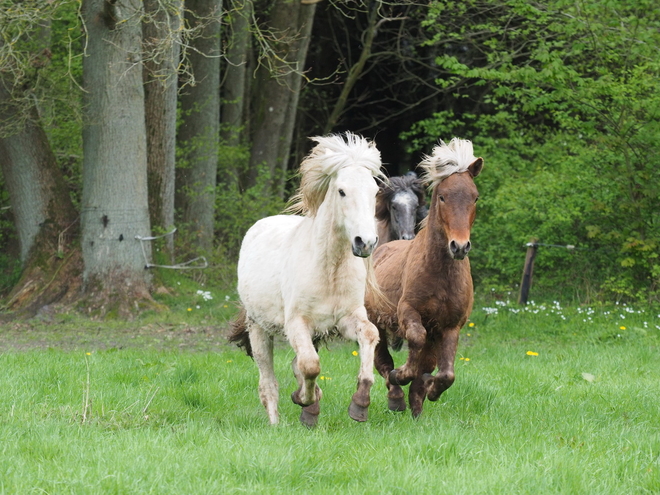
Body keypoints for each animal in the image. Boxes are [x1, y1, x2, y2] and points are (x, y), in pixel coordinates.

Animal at [232, 134, 386, 428]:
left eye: (374, 192)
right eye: (342, 191)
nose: (366, 242)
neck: (329, 270)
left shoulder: (347, 319)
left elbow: (370, 335)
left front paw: (359, 405)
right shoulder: (297, 324)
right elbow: (310, 366)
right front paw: (303, 399)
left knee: (296, 363)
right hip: (258, 328)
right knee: (268, 382)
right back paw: (276, 423)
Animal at [364, 139, 482, 418]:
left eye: (475, 197)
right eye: (442, 196)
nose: (459, 247)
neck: (441, 275)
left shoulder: (450, 326)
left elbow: (446, 373)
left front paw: (432, 390)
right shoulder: (408, 311)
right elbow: (414, 340)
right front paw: (402, 374)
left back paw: (416, 408)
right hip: (377, 322)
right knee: (382, 361)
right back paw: (396, 396)